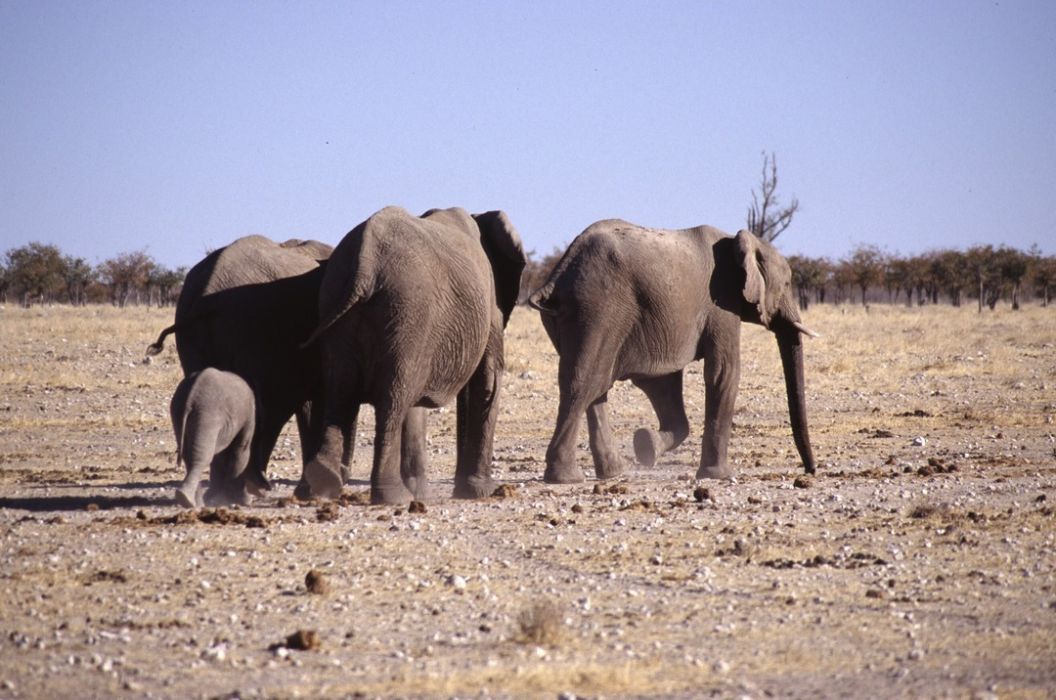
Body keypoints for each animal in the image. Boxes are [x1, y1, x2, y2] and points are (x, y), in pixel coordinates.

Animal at [172, 369, 258, 506]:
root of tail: (190, 398)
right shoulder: (249, 416)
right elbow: (241, 451)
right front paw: (245, 501)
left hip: (179, 412)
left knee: (189, 456)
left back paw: (193, 502)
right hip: (208, 414)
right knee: (203, 457)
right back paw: (188, 500)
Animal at [302, 205, 523, 506]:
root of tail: (365, 263)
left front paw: (433, 493)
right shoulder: (489, 300)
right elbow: (488, 381)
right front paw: (481, 492)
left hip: (338, 303)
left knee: (341, 392)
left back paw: (322, 486)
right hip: (408, 310)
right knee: (392, 399)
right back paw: (394, 497)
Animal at [532, 221, 819, 485]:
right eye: (787, 283)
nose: (810, 471)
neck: (739, 241)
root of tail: (558, 275)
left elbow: (663, 383)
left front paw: (646, 445)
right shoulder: (722, 304)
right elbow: (723, 373)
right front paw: (719, 476)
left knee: (597, 385)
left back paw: (613, 473)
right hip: (599, 307)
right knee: (586, 383)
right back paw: (565, 478)